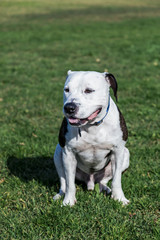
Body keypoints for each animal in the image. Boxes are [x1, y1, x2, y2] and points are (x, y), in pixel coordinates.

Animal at [53, 70, 130, 205]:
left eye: (89, 90)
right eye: (67, 90)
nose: (69, 107)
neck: (92, 126)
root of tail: (90, 182)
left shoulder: (118, 152)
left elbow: (116, 180)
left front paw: (120, 199)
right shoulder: (68, 154)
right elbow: (69, 183)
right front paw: (68, 202)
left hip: (126, 154)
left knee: (104, 180)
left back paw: (106, 189)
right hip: (58, 153)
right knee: (64, 182)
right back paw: (60, 195)